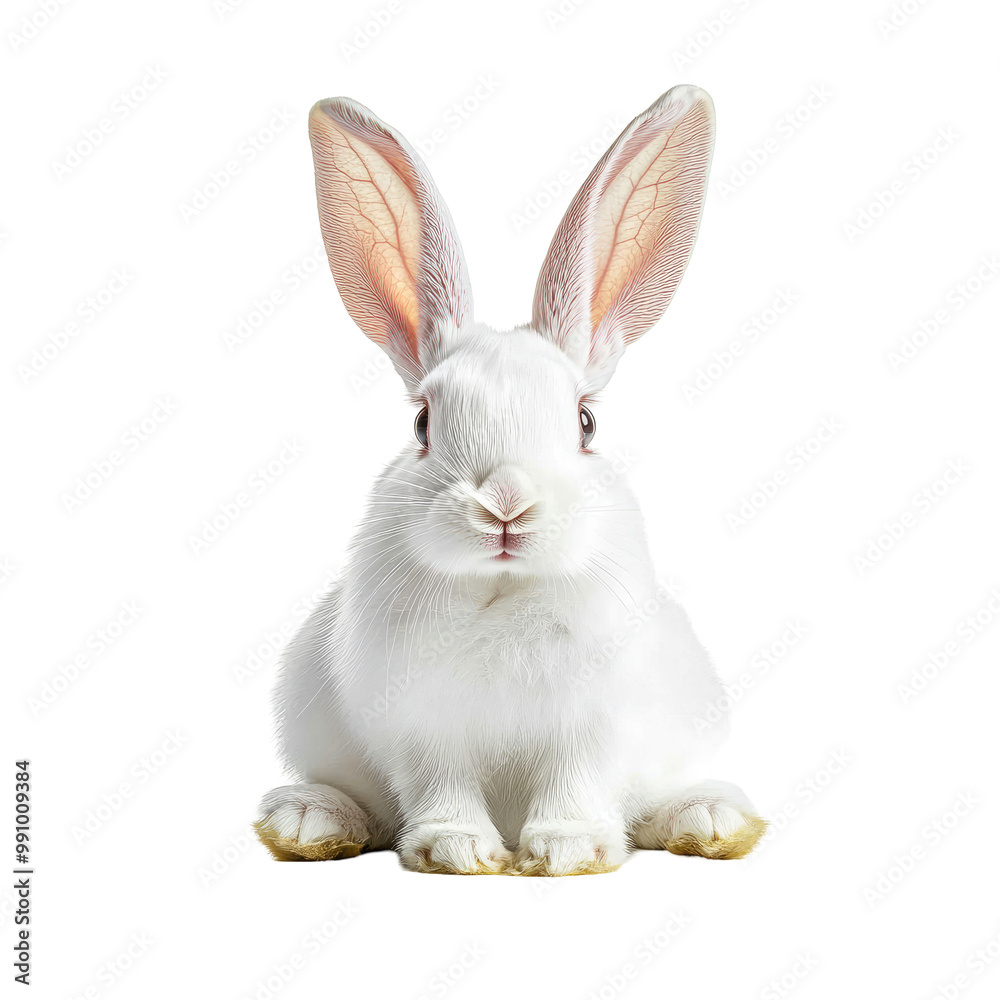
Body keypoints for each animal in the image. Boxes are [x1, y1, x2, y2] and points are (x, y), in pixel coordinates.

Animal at [253, 84, 766, 875]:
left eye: (585, 422)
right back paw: (310, 822)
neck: (499, 591)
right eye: (423, 423)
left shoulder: (593, 724)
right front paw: (455, 850)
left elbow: (577, 783)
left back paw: (710, 820)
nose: (506, 505)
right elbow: (440, 786)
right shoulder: (420, 726)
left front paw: (567, 850)